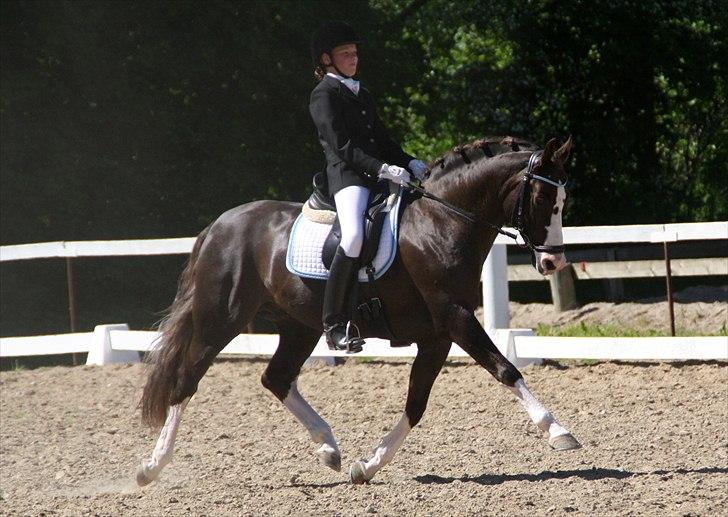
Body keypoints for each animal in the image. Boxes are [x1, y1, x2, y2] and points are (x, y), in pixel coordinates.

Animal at [136, 136, 579, 486]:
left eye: (563, 199)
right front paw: (559, 431)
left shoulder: (438, 334)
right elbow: (506, 370)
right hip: (220, 320)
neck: (441, 222)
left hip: (299, 326)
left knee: (276, 378)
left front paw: (366, 466)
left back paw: (329, 448)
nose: (553, 261)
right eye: (543, 197)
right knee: (186, 381)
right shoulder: (456, 318)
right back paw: (151, 467)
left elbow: (416, 404)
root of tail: (219, 225)